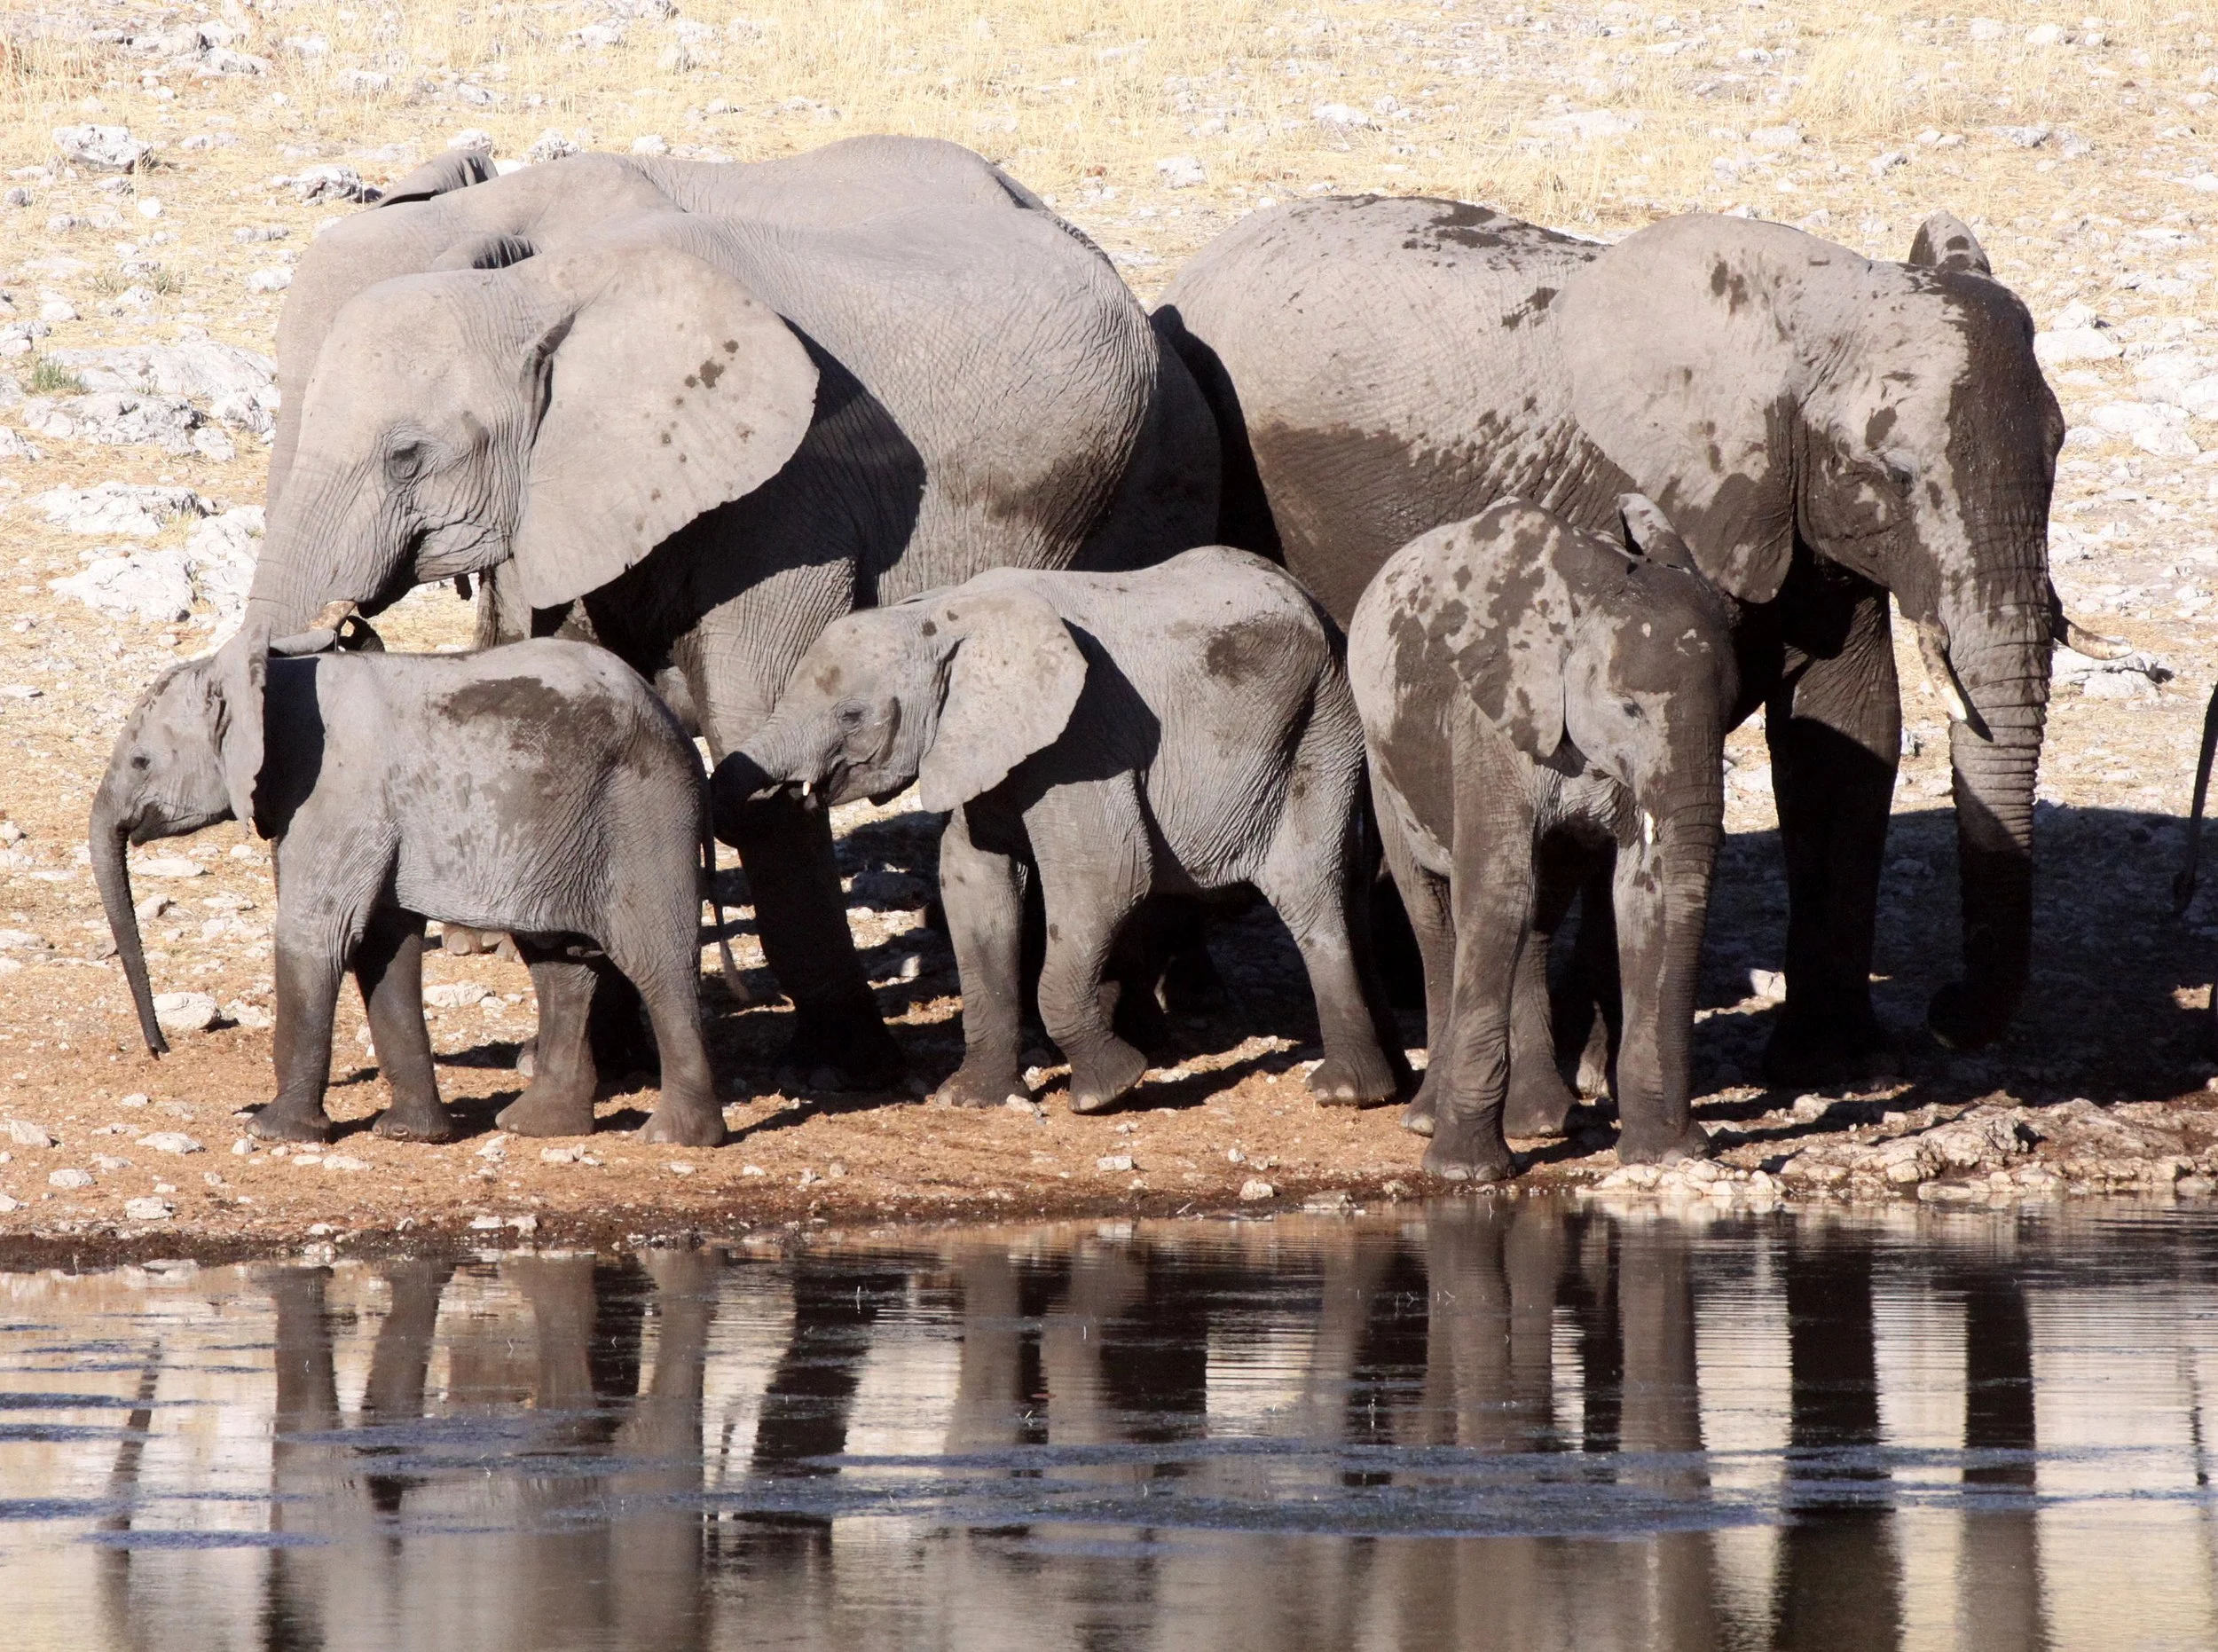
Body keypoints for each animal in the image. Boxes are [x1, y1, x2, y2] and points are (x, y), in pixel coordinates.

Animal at [90, 632, 727, 1146]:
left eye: (142, 761)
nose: (160, 1050)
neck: (262, 678)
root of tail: (674, 726)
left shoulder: (336, 795)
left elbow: (319, 935)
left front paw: (273, 1133)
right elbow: (381, 948)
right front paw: (410, 1134)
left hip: (644, 812)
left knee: (656, 961)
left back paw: (674, 1138)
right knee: (561, 966)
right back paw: (535, 1126)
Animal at [243, 135, 1219, 1095]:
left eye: (407, 456)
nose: (344, 625)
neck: (536, 288)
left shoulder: (785, 496)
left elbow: (761, 771)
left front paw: (841, 1069)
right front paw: (610, 1068)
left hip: (1146, 471)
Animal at [735, 548, 1408, 1115]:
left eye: (851, 716)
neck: (946, 617)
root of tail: (1319, 606)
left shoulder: (1083, 738)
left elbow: (1104, 879)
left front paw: (1107, 1090)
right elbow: (974, 887)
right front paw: (970, 1100)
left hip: (1318, 733)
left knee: (1310, 895)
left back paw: (1345, 1093)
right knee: (1346, 891)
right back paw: (1390, 1080)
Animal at [1161, 198, 2116, 1082]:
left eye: (2060, 445)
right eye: (1891, 473)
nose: (1946, 1012)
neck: (1804, 316)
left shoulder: (1798, 520)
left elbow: (1846, 738)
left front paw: (1828, 1062)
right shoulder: (1635, 501)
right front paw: (1593, 1064)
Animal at [1347, 496, 1736, 1180]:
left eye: (1733, 706)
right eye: (1629, 709)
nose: (1693, 1140)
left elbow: (1643, 898)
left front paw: (1658, 1154)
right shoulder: (1490, 721)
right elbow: (1496, 891)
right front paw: (1467, 1173)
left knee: (1541, 913)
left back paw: (1540, 1120)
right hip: (1383, 758)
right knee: (1436, 915)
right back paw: (1428, 1120)